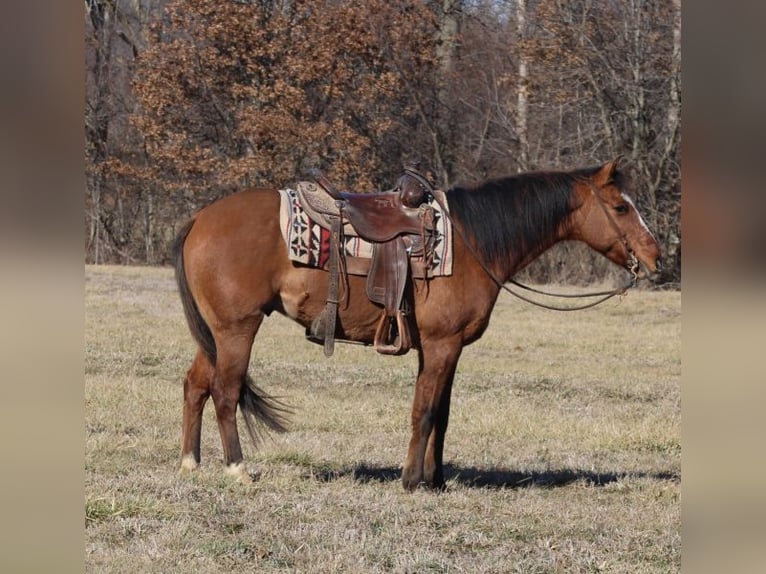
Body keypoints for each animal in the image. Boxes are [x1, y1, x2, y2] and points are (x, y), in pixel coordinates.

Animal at [172, 158, 661, 491]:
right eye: (621, 207)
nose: (655, 255)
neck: (471, 242)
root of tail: (200, 218)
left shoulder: (444, 348)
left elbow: (441, 413)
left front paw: (436, 479)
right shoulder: (443, 343)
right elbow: (423, 411)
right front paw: (411, 480)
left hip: (215, 332)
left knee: (196, 384)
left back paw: (190, 462)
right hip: (238, 328)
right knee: (225, 391)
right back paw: (237, 468)